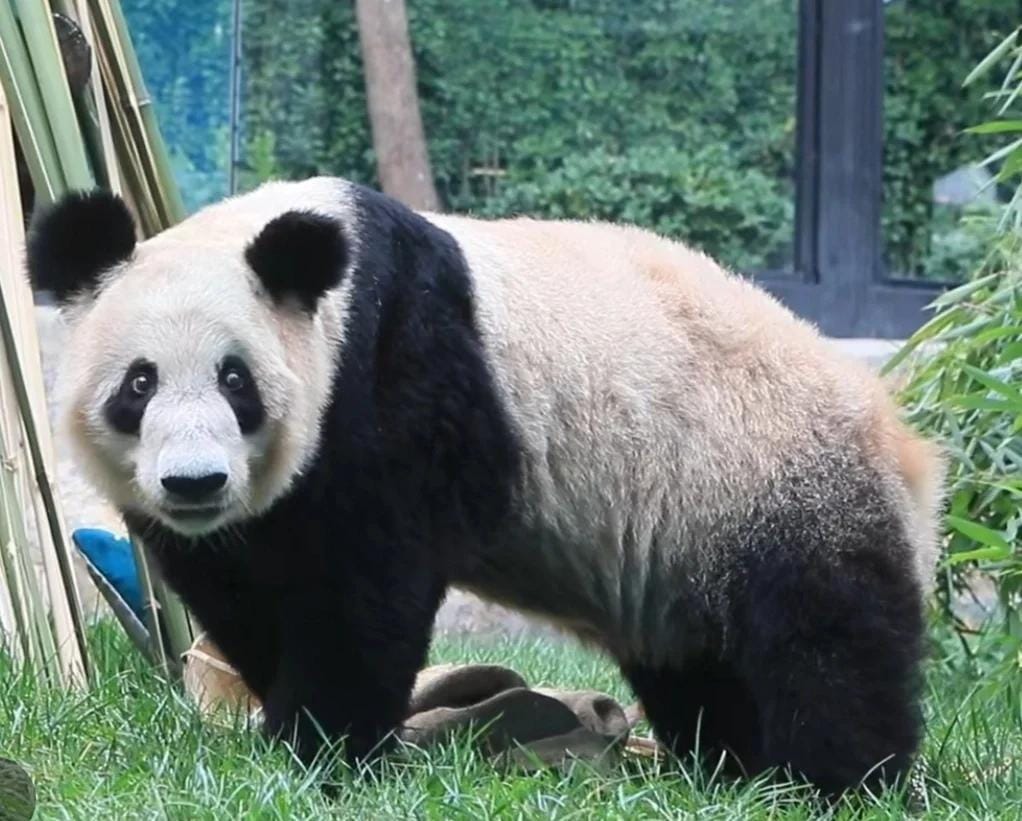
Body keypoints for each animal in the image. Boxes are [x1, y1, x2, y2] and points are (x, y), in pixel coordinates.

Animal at [26, 177, 945, 796]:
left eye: (234, 379)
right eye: (138, 383)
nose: (195, 482)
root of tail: (903, 440)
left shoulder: (398, 375)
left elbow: (363, 588)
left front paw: (324, 749)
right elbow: (247, 590)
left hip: (771, 476)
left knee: (827, 643)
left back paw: (834, 782)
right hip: (688, 540)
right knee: (703, 660)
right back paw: (732, 765)